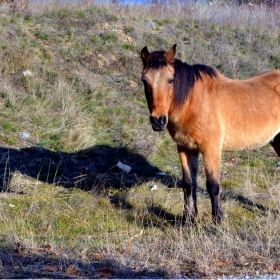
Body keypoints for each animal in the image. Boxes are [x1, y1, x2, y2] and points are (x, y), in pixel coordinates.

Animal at [141, 43, 280, 223]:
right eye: (144, 80)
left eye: (171, 80)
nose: (158, 121)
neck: (193, 102)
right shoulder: (185, 148)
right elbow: (188, 183)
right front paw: (188, 220)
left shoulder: (210, 149)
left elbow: (212, 185)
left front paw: (218, 221)